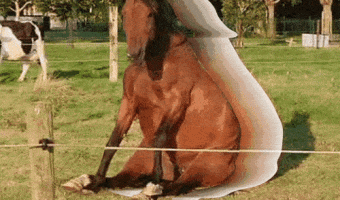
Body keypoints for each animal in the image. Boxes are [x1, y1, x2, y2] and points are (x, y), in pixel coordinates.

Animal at [84, 0, 240, 197]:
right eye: (124, 13)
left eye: (150, 14)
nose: (134, 54)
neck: (157, 63)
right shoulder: (129, 102)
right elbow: (114, 140)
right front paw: (96, 181)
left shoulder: (175, 103)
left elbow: (160, 136)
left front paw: (155, 179)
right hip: (141, 157)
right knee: (121, 179)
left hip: (202, 165)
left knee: (177, 186)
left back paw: (154, 187)